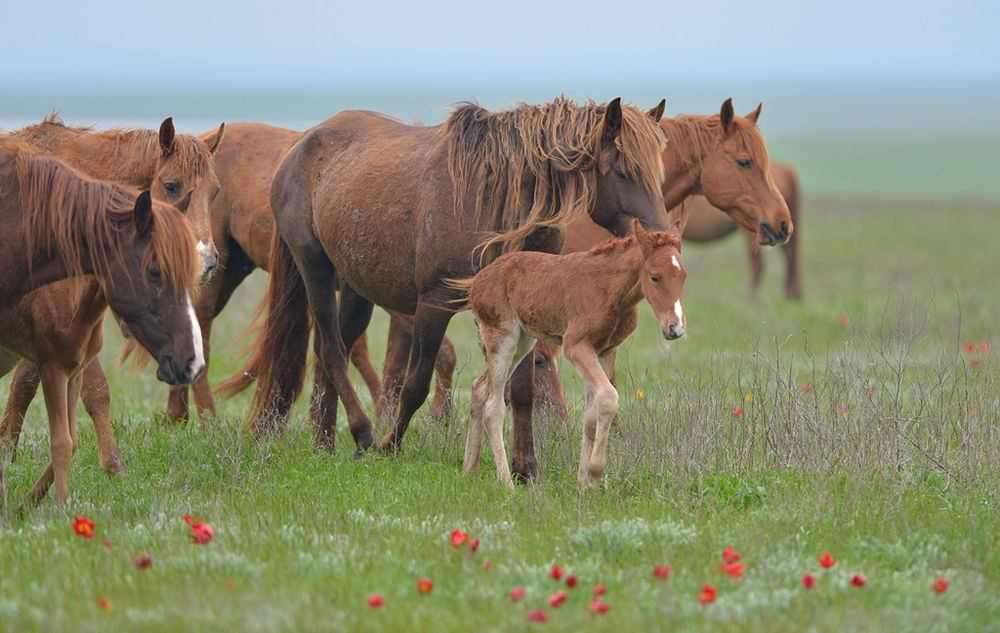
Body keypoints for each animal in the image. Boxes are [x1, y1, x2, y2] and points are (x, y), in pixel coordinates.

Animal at [0, 117, 223, 474]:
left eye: (214, 191)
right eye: (171, 186)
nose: (205, 261)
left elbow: (26, 381)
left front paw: (7, 448)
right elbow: (94, 389)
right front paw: (113, 463)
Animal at [237, 96, 668, 454]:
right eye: (623, 173)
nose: (663, 238)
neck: (495, 200)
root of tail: (300, 145)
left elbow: (520, 390)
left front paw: (526, 467)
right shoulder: (434, 301)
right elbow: (416, 384)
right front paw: (390, 448)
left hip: (358, 288)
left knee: (332, 351)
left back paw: (325, 442)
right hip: (316, 270)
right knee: (331, 349)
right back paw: (362, 433)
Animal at [462, 218, 688, 488]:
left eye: (683, 276)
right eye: (654, 277)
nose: (675, 328)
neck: (609, 288)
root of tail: (476, 282)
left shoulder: (605, 351)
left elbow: (590, 417)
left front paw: (584, 485)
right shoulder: (576, 346)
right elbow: (608, 398)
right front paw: (595, 472)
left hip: (523, 342)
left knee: (479, 386)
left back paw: (469, 471)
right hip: (503, 337)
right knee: (493, 406)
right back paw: (507, 483)